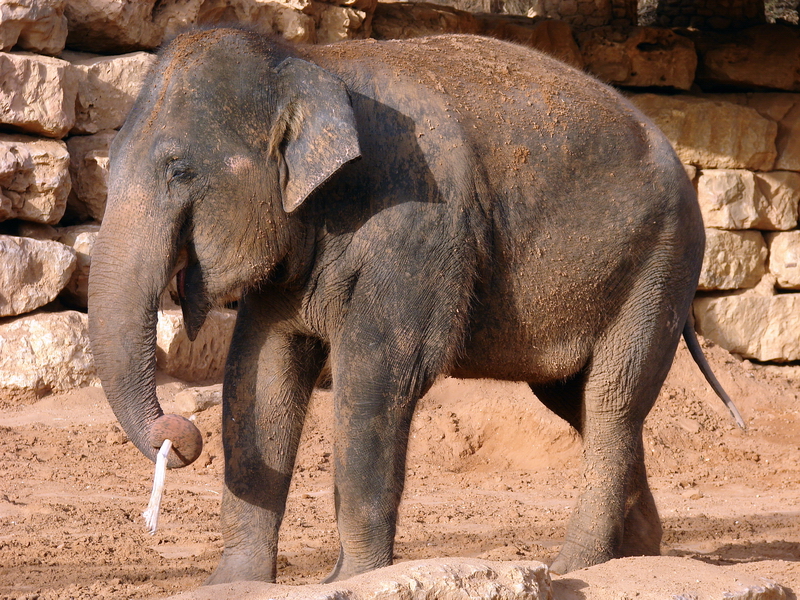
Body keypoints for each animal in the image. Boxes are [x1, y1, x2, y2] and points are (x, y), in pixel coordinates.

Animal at [87, 27, 740, 584]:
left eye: (179, 170)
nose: (179, 435)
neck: (313, 64)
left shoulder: (419, 226)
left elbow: (380, 375)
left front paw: (349, 580)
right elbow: (259, 372)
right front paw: (233, 584)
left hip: (661, 264)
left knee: (610, 401)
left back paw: (575, 566)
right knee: (576, 401)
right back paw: (638, 553)